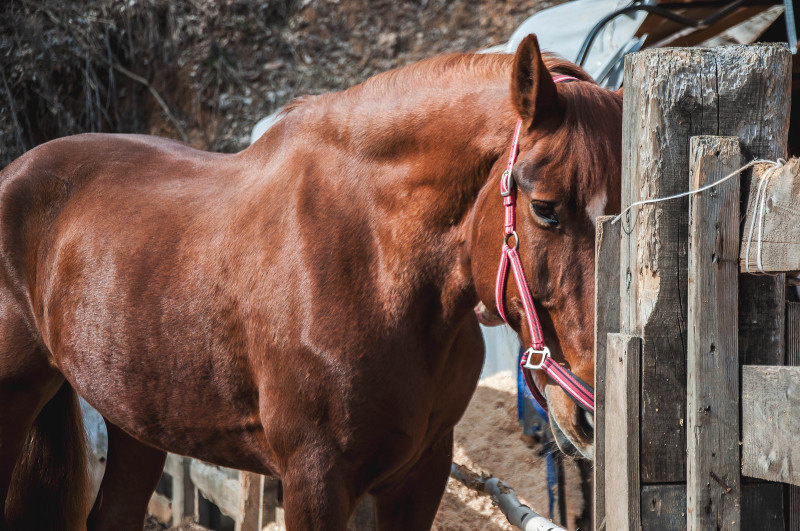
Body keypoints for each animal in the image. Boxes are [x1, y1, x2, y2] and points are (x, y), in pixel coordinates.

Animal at [0, 35, 620, 528]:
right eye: (544, 209)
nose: (595, 417)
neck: (374, 262)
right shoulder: (315, 479)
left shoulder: (418, 473)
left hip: (138, 419)